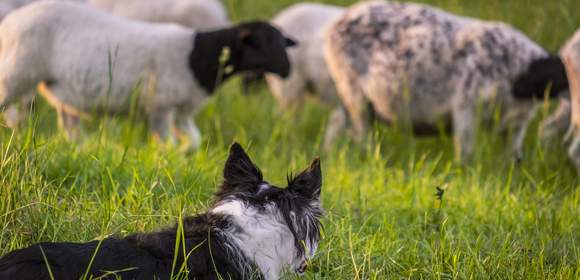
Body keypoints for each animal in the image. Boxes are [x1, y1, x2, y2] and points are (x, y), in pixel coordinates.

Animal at [0, 1, 294, 150]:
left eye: (283, 42)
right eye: (261, 44)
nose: (288, 70)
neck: (199, 58)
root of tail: (11, 20)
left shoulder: (181, 110)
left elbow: (194, 141)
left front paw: (183, 154)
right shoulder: (160, 107)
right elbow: (167, 144)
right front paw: (167, 160)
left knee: (69, 126)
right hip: (16, 72)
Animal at [324, 0, 556, 160]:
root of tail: (335, 24)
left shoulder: (517, 126)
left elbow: (514, 157)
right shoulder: (466, 106)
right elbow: (466, 155)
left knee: (337, 121)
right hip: (353, 91)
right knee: (360, 133)